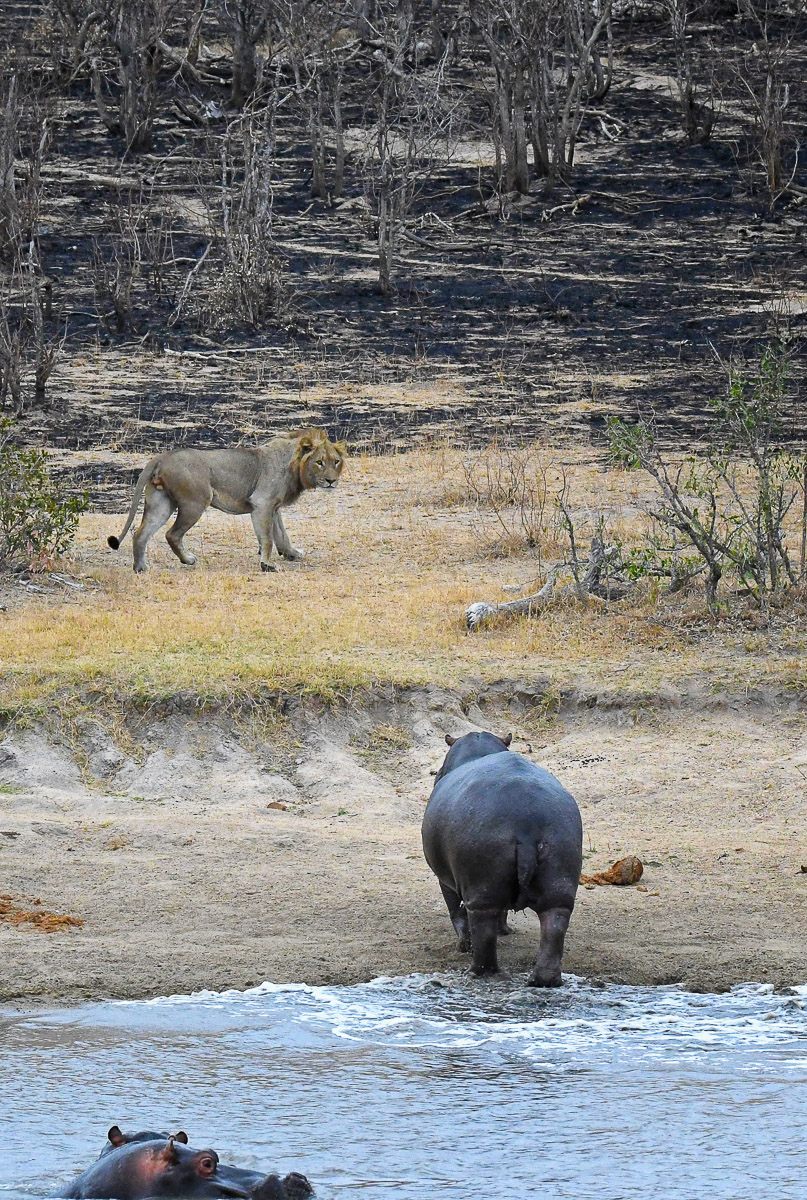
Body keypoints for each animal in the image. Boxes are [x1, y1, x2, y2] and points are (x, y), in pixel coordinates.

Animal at [107, 427, 347, 573]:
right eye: (319, 462)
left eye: (335, 461)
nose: (331, 481)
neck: (294, 463)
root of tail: (161, 457)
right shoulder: (262, 503)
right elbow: (268, 538)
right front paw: (267, 565)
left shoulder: (274, 506)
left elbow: (282, 534)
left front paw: (292, 554)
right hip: (195, 502)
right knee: (171, 534)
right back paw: (188, 560)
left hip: (161, 502)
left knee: (140, 534)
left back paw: (141, 568)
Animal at [421, 731, 583, 986]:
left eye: (438, 770)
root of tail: (526, 824)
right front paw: (505, 931)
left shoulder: (444, 879)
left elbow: (455, 910)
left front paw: (463, 945)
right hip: (560, 879)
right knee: (554, 927)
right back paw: (543, 980)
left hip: (482, 892)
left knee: (482, 933)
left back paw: (479, 972)